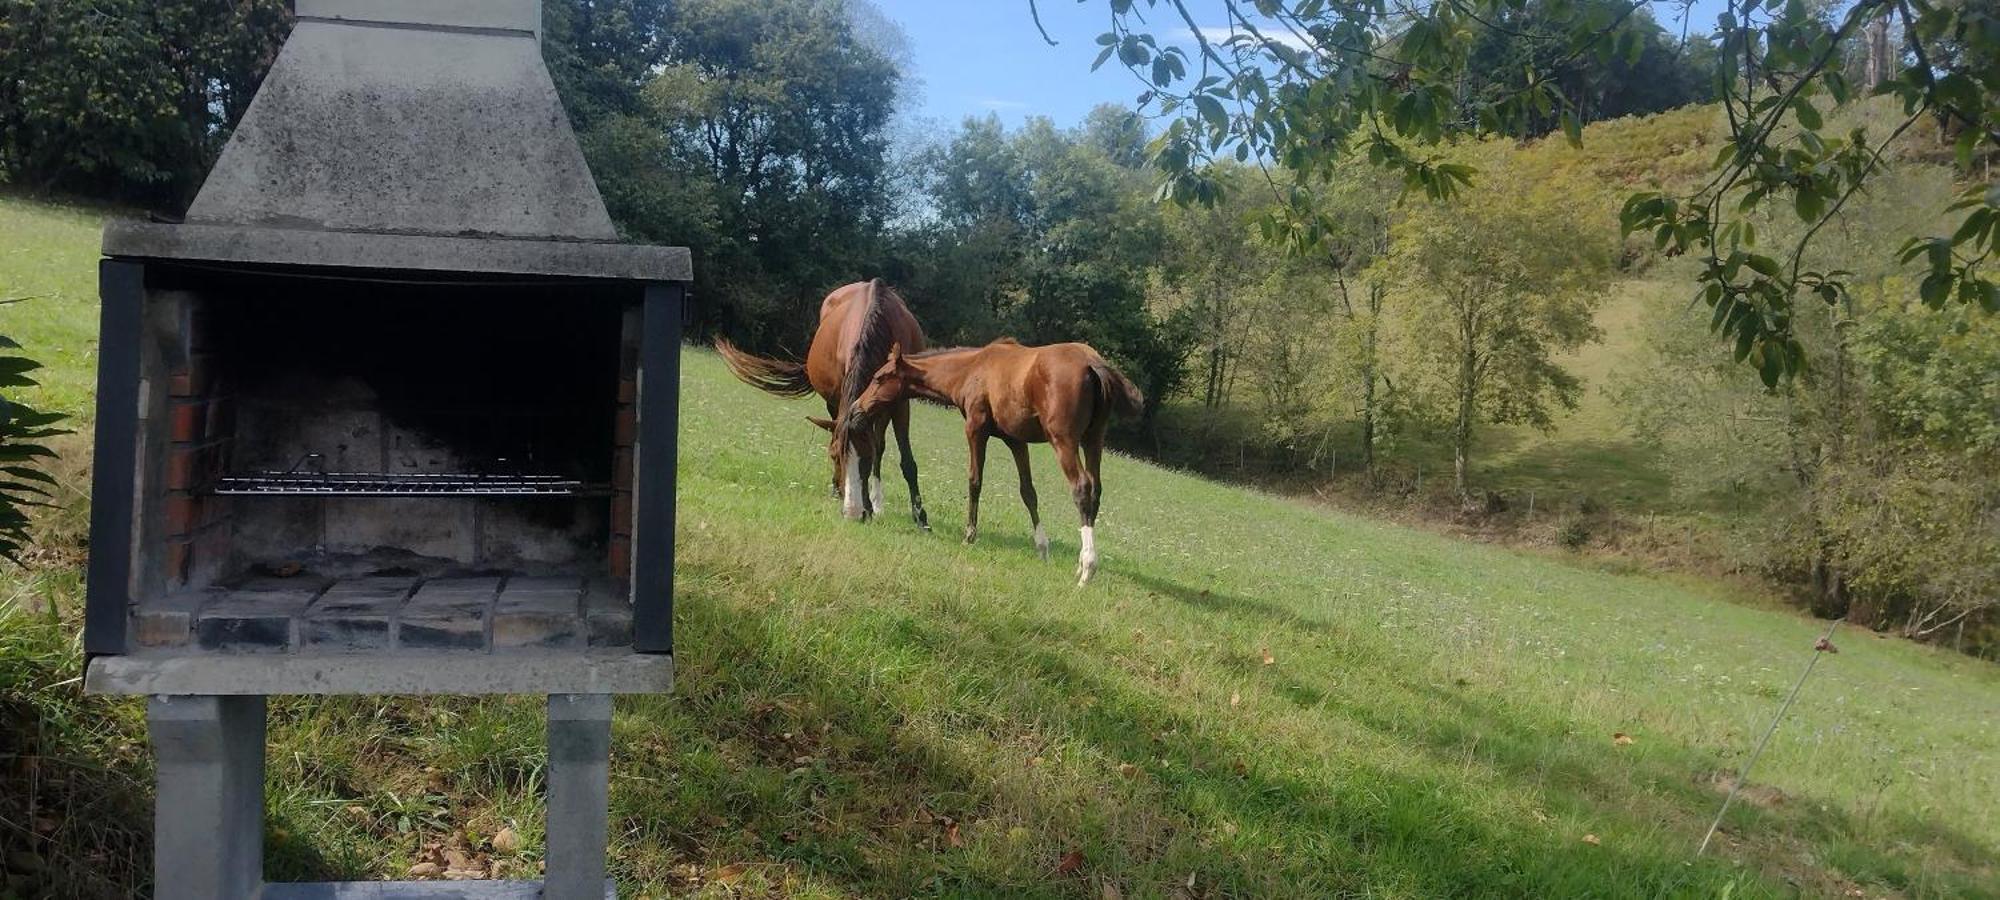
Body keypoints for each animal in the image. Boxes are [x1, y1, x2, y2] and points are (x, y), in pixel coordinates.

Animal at [720, 278, 928, 524]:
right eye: (834, 456)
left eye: (866, 458)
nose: (852, 513)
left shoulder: (899, 404)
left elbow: (905, 460)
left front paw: (920, 517)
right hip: (835, 403)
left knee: (881, 445)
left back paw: (877, 501)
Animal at [852, 338, 1152, 584]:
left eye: (879, 378)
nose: (856, 408)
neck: (971, 369)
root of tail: (1093, 364)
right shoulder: (1015, 441)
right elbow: (1028, 492)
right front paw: (1042, 548)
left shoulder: (976, 429)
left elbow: (975, 481)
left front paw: (969, 535)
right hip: (1093, 440)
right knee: (1096, 490)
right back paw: (1080, 563)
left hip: (1064, 441)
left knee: (1082, 487)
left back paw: (1088, 568)